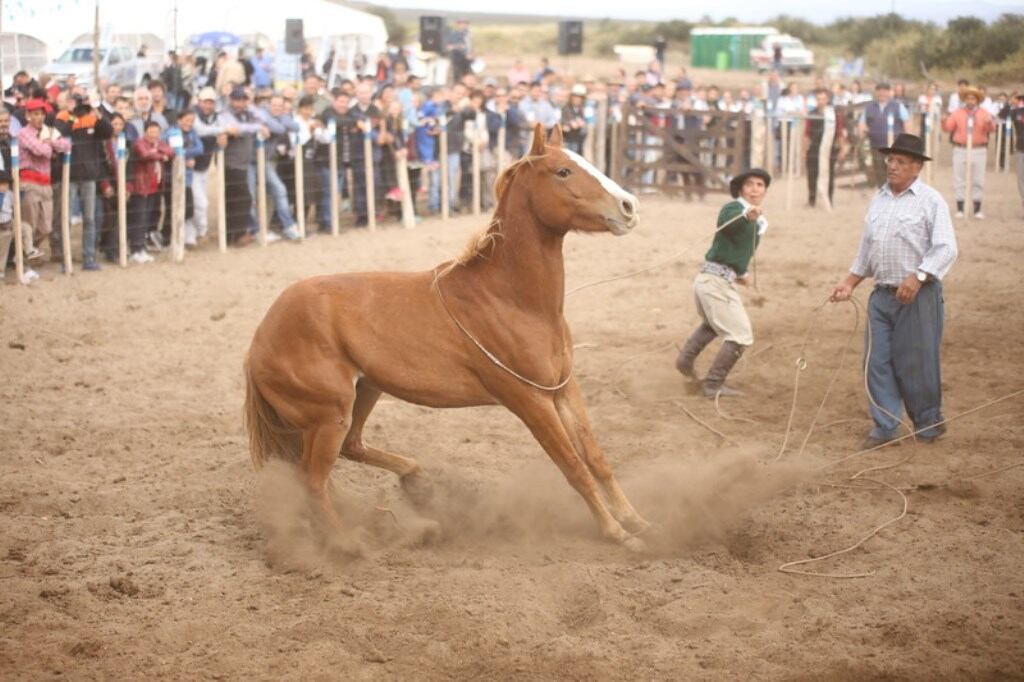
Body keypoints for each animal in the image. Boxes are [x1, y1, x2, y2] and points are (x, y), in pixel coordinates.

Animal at [241, 122, 647, 548]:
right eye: (563, 171)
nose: (628, 206)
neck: (511, 299)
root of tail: (260, 339)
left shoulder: (563, 389)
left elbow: (596, 458)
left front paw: (634, 519)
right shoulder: (528, 400)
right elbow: (573, 466)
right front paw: (617, 533)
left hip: (364, 391)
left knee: (351, 447)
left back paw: (417, 482)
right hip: (328, 414)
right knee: (314, 480)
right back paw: (349, 544)